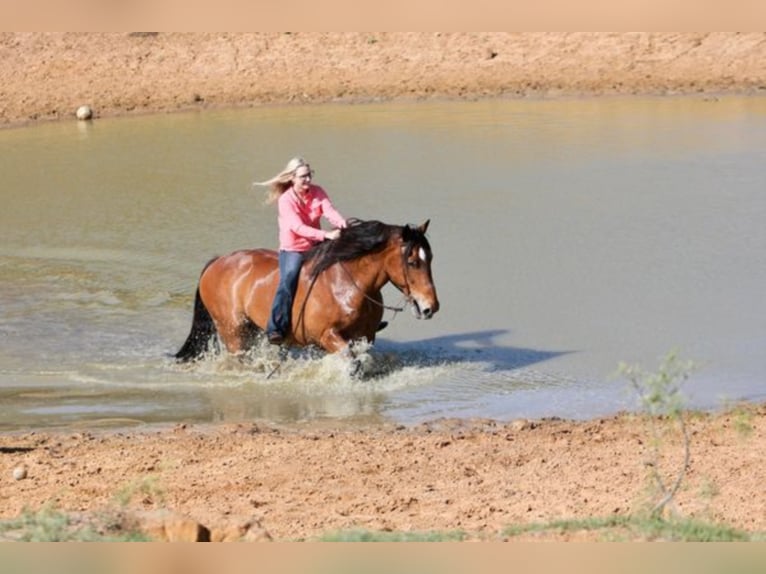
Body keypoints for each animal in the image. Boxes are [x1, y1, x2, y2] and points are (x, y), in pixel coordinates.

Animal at [173, 220, 438, 364]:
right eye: (412, 262)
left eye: (431, 257)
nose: (431, 307)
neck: (350, 285)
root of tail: (216, 262)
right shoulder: (326, 335)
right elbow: (352, 363)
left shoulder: (367, 335)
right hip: (232, 330)